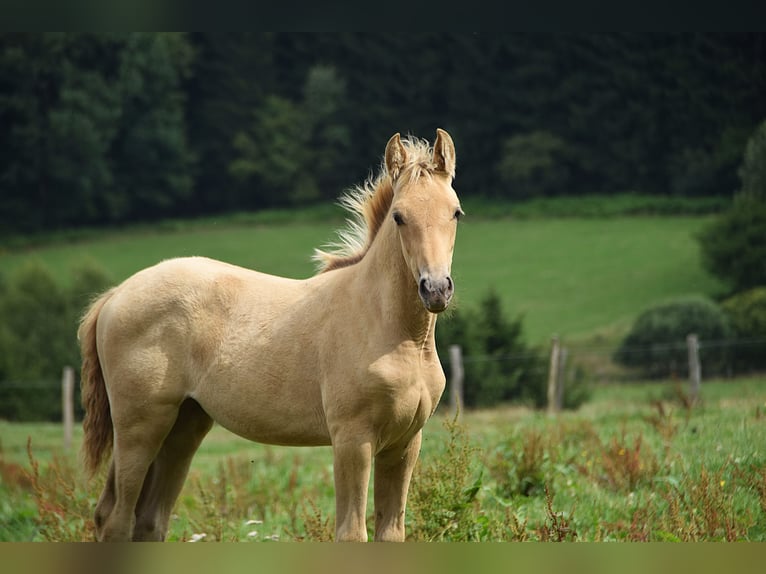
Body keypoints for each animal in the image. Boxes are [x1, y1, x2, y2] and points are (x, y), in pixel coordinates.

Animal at [78, 128, 463, 542]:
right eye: (399, 216)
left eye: (455, 212)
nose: (436, 289)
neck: (398, 336)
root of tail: (116, 295)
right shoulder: (352, 439)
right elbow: (351, 533)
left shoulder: (405, 443)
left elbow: (390, 533)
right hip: (139, 426)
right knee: (115, 518)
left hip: (183, 426)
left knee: (149, 520)